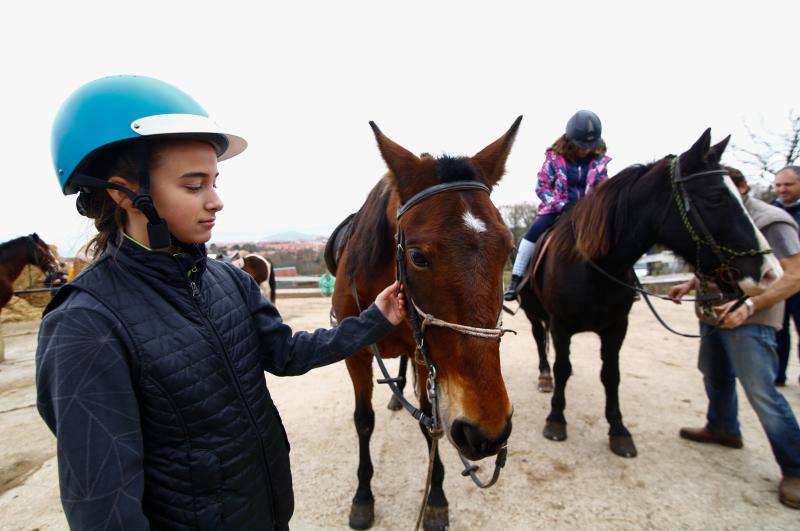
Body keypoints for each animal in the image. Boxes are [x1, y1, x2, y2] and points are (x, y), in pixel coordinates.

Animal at [330, 118, 520, 531]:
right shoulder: (354, 354)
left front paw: (435, 498)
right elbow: (363, 421)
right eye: (417, 256)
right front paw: (363, 496)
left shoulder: (424, 355)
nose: (487, 431)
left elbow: (429, 422)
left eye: (509, 248)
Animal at [520, 131, 780, 460]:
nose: (770, 272)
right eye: (714, 198)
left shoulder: (617, 327)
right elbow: (562, 367)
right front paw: (556, 419)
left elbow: (611, 375)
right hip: (534, 313)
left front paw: (619, 431)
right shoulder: (561, 325)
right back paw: (545, 377)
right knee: (540, 341)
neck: (593, 265)